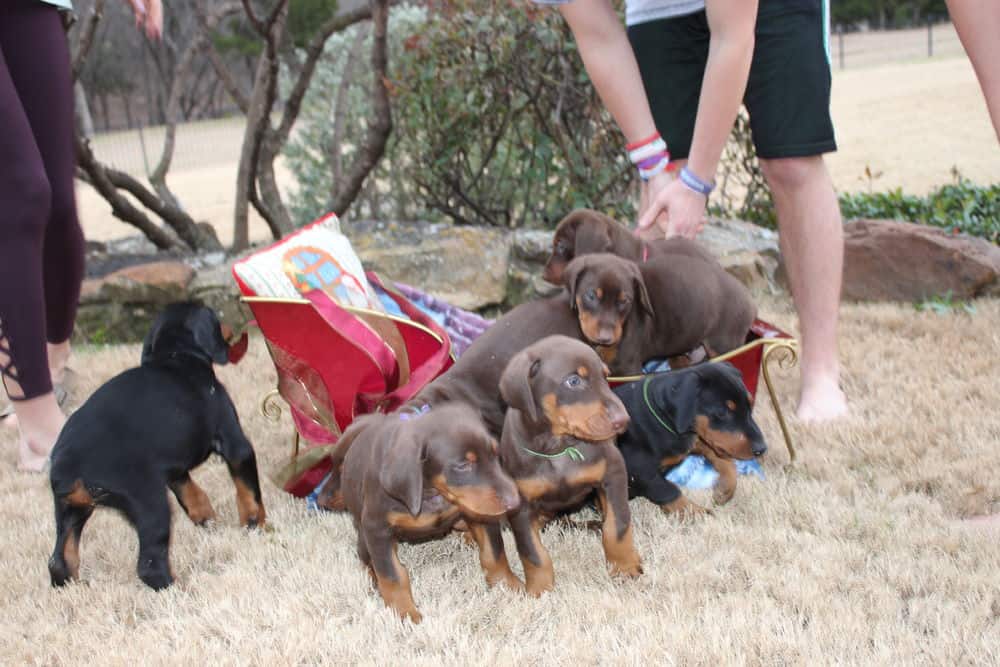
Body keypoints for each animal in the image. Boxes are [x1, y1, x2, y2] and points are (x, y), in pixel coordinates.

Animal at [47, 302, 266, 588]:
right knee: (149, 566)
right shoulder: (235, 444)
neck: (175, 355)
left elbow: (192, 495)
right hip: (150, 504)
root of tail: (67, 466)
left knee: (59, 561)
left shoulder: (173, 469)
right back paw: (178, 588)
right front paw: (256, 525)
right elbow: (249, 491)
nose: (231, 326)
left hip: (72, 510)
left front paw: (207, 520)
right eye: (214, 316)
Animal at [318, 402, 524, 628]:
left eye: (496, 454)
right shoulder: (376, 528)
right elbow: (392, 575)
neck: (432, 491)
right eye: (462, 465)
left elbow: (494, 553)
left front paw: (508, 584)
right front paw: (404, 613)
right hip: (364, 535)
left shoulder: (481, 511)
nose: (515, 501)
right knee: (366, 557)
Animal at [466, 336, 640, 596]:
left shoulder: (613, 472)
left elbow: (617, 526)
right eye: (574, 381)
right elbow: (532, 552)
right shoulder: (521, 506)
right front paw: (539, 590)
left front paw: (625, 568)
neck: (557, 449)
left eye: (605, 376)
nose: (623, 420)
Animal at [608, 366, 764, 516]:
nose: (762, 449)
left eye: (750, 405)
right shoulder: (639, 471)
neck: (661, 417)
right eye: (722, 413)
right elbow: (668, 492)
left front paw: (724, 489)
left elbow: (721, 457)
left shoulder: (693, 440)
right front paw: (699, 514)